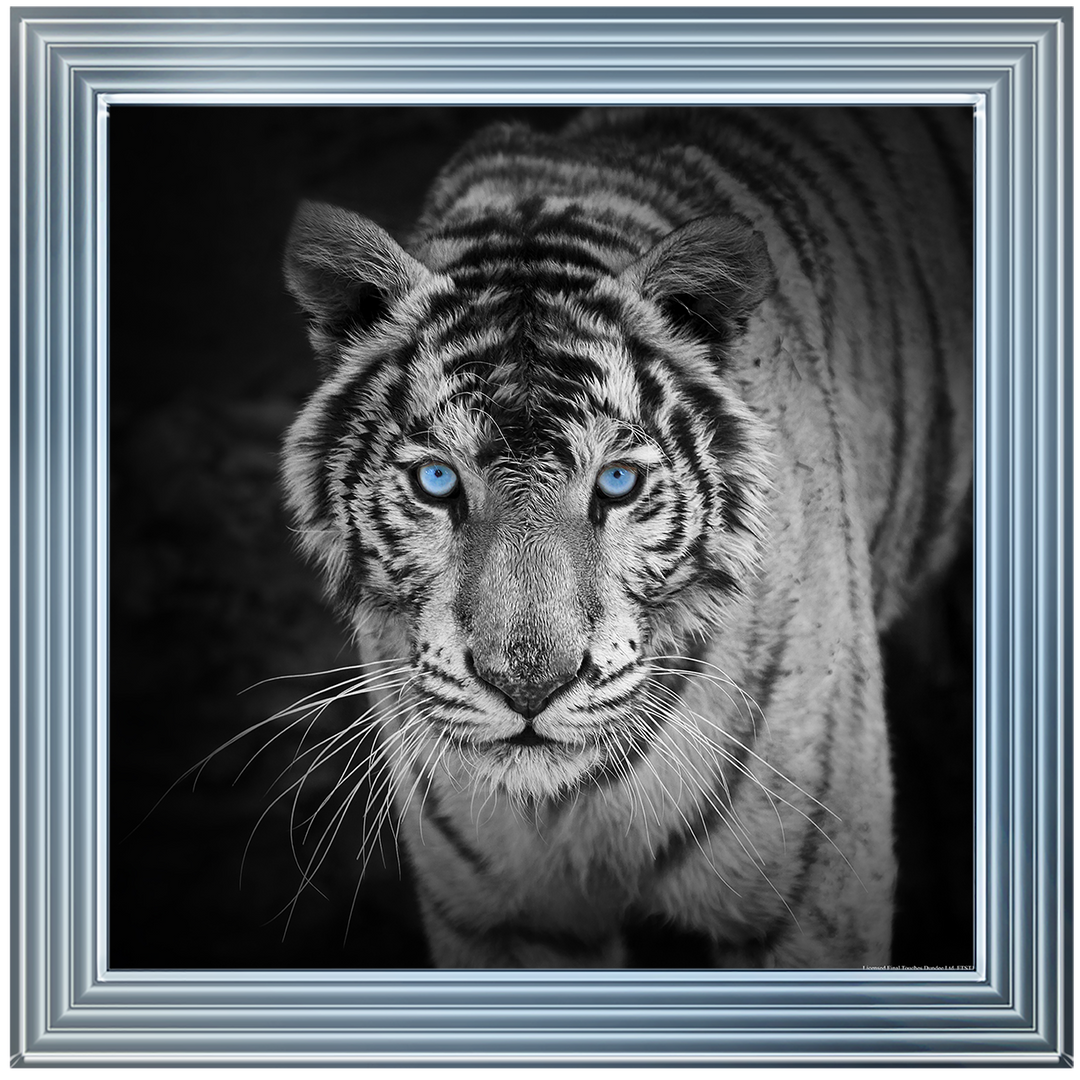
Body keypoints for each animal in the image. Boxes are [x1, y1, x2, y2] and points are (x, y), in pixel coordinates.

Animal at [280, 107, 973, 969]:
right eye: (437, 481)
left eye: (617, 483)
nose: (528, 688)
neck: (570, 804)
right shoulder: (503, 919)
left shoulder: (810, 907)